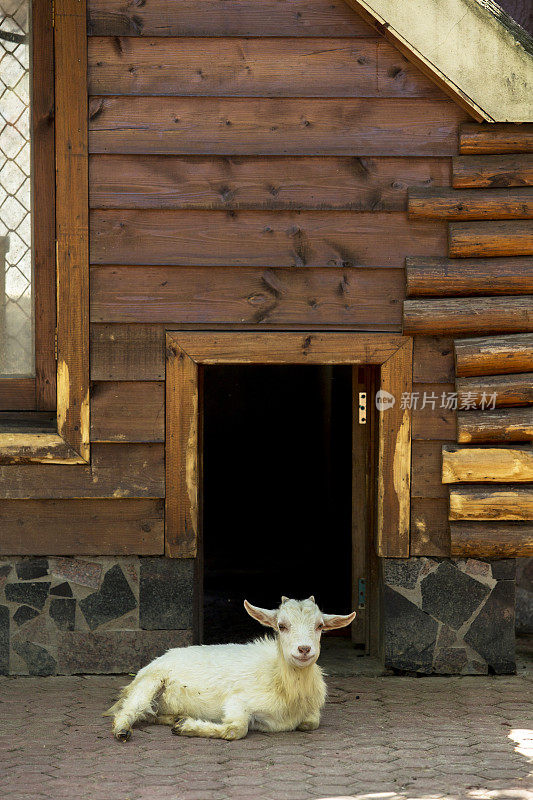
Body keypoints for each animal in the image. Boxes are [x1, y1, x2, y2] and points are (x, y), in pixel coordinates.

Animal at [105, 596, 354, 740]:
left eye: (320, 626)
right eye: (281, 626)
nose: (304, 649)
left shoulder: (310, 714)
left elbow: (310, 723)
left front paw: (183, 723)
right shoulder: (238, 700)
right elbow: (237, 728)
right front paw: (187, 727)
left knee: (151, 714)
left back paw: (175, 717)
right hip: (150, 681)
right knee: (130, 709)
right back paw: (123, 730)